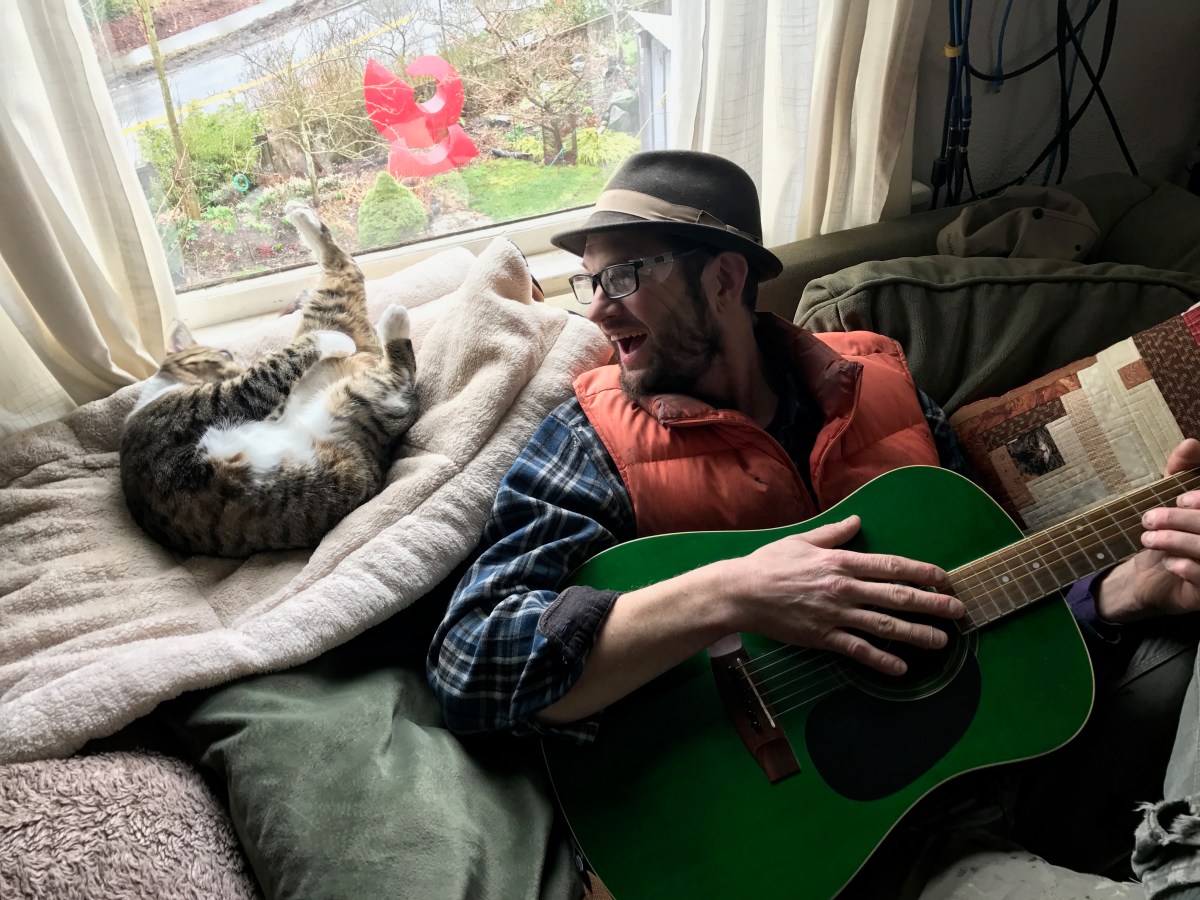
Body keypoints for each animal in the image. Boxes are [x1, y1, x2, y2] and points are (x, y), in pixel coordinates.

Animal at [119, 200, 419, 557]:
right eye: (225, 353)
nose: (238, 366)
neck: (158, 392)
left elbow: (280, 363)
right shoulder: (227, 399)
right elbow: (278, 365)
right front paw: (327, 342)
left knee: (345, 270)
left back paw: (300, 214)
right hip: (355, 397)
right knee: (397, 372)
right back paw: (392, 320)